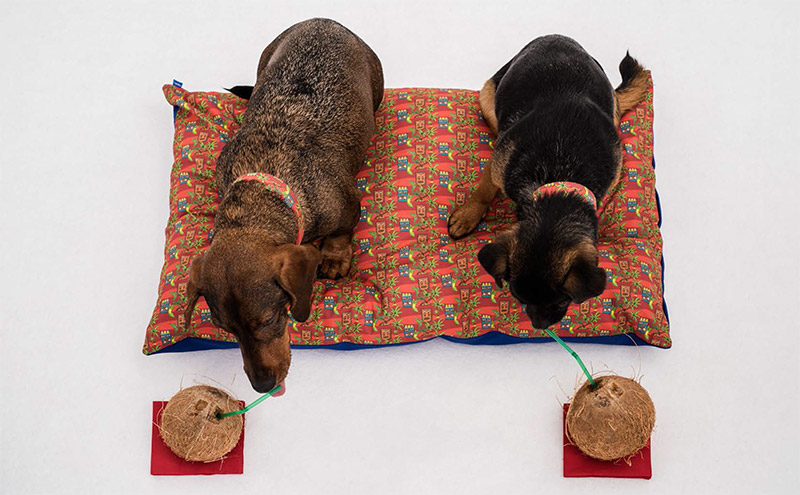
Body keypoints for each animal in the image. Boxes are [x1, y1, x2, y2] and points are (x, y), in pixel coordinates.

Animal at [184, 18, 384, 393]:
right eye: (226, 330)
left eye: (267, 320)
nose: (263, 386)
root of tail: (323, 20)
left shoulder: (348, 207)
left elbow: (341, 234)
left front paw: (334, 258)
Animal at [447, 35, 648, 329]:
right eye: (518, 298)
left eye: (564, 301)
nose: (539, 326)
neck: (560, 173)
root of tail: (556, 36)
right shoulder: (498, 164)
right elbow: (484, 190)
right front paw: (467, 216)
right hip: (488, 95)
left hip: (612, 106)